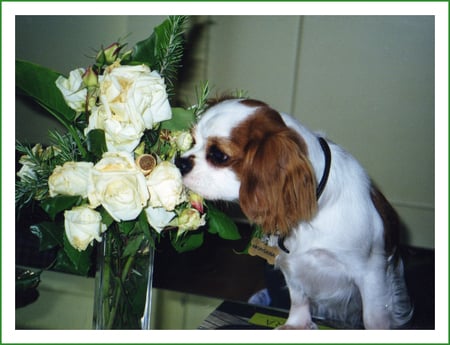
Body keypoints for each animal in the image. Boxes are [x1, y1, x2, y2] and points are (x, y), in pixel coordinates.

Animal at [174, 97, 414, 328]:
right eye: (192, 140)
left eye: (218, 155)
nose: (179, 162)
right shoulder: (293, 264)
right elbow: (298, 298)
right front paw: (296, 325)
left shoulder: (372, 273)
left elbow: (373, 319)